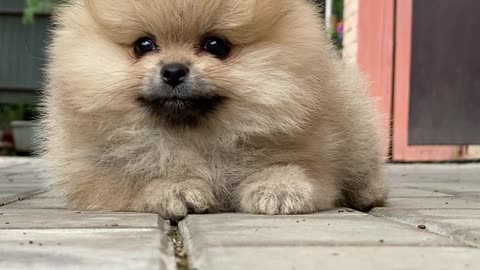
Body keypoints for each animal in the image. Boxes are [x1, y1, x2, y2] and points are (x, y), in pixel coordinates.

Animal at [40, 0, 386, 219]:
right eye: (143, 45)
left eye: (215, 45)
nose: (173, 70)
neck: (192, 136)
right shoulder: (91, 175)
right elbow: (129, 181)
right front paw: (174, 188)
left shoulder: (316, 157)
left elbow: (297, 170)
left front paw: (277, 188)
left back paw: (368, 194)